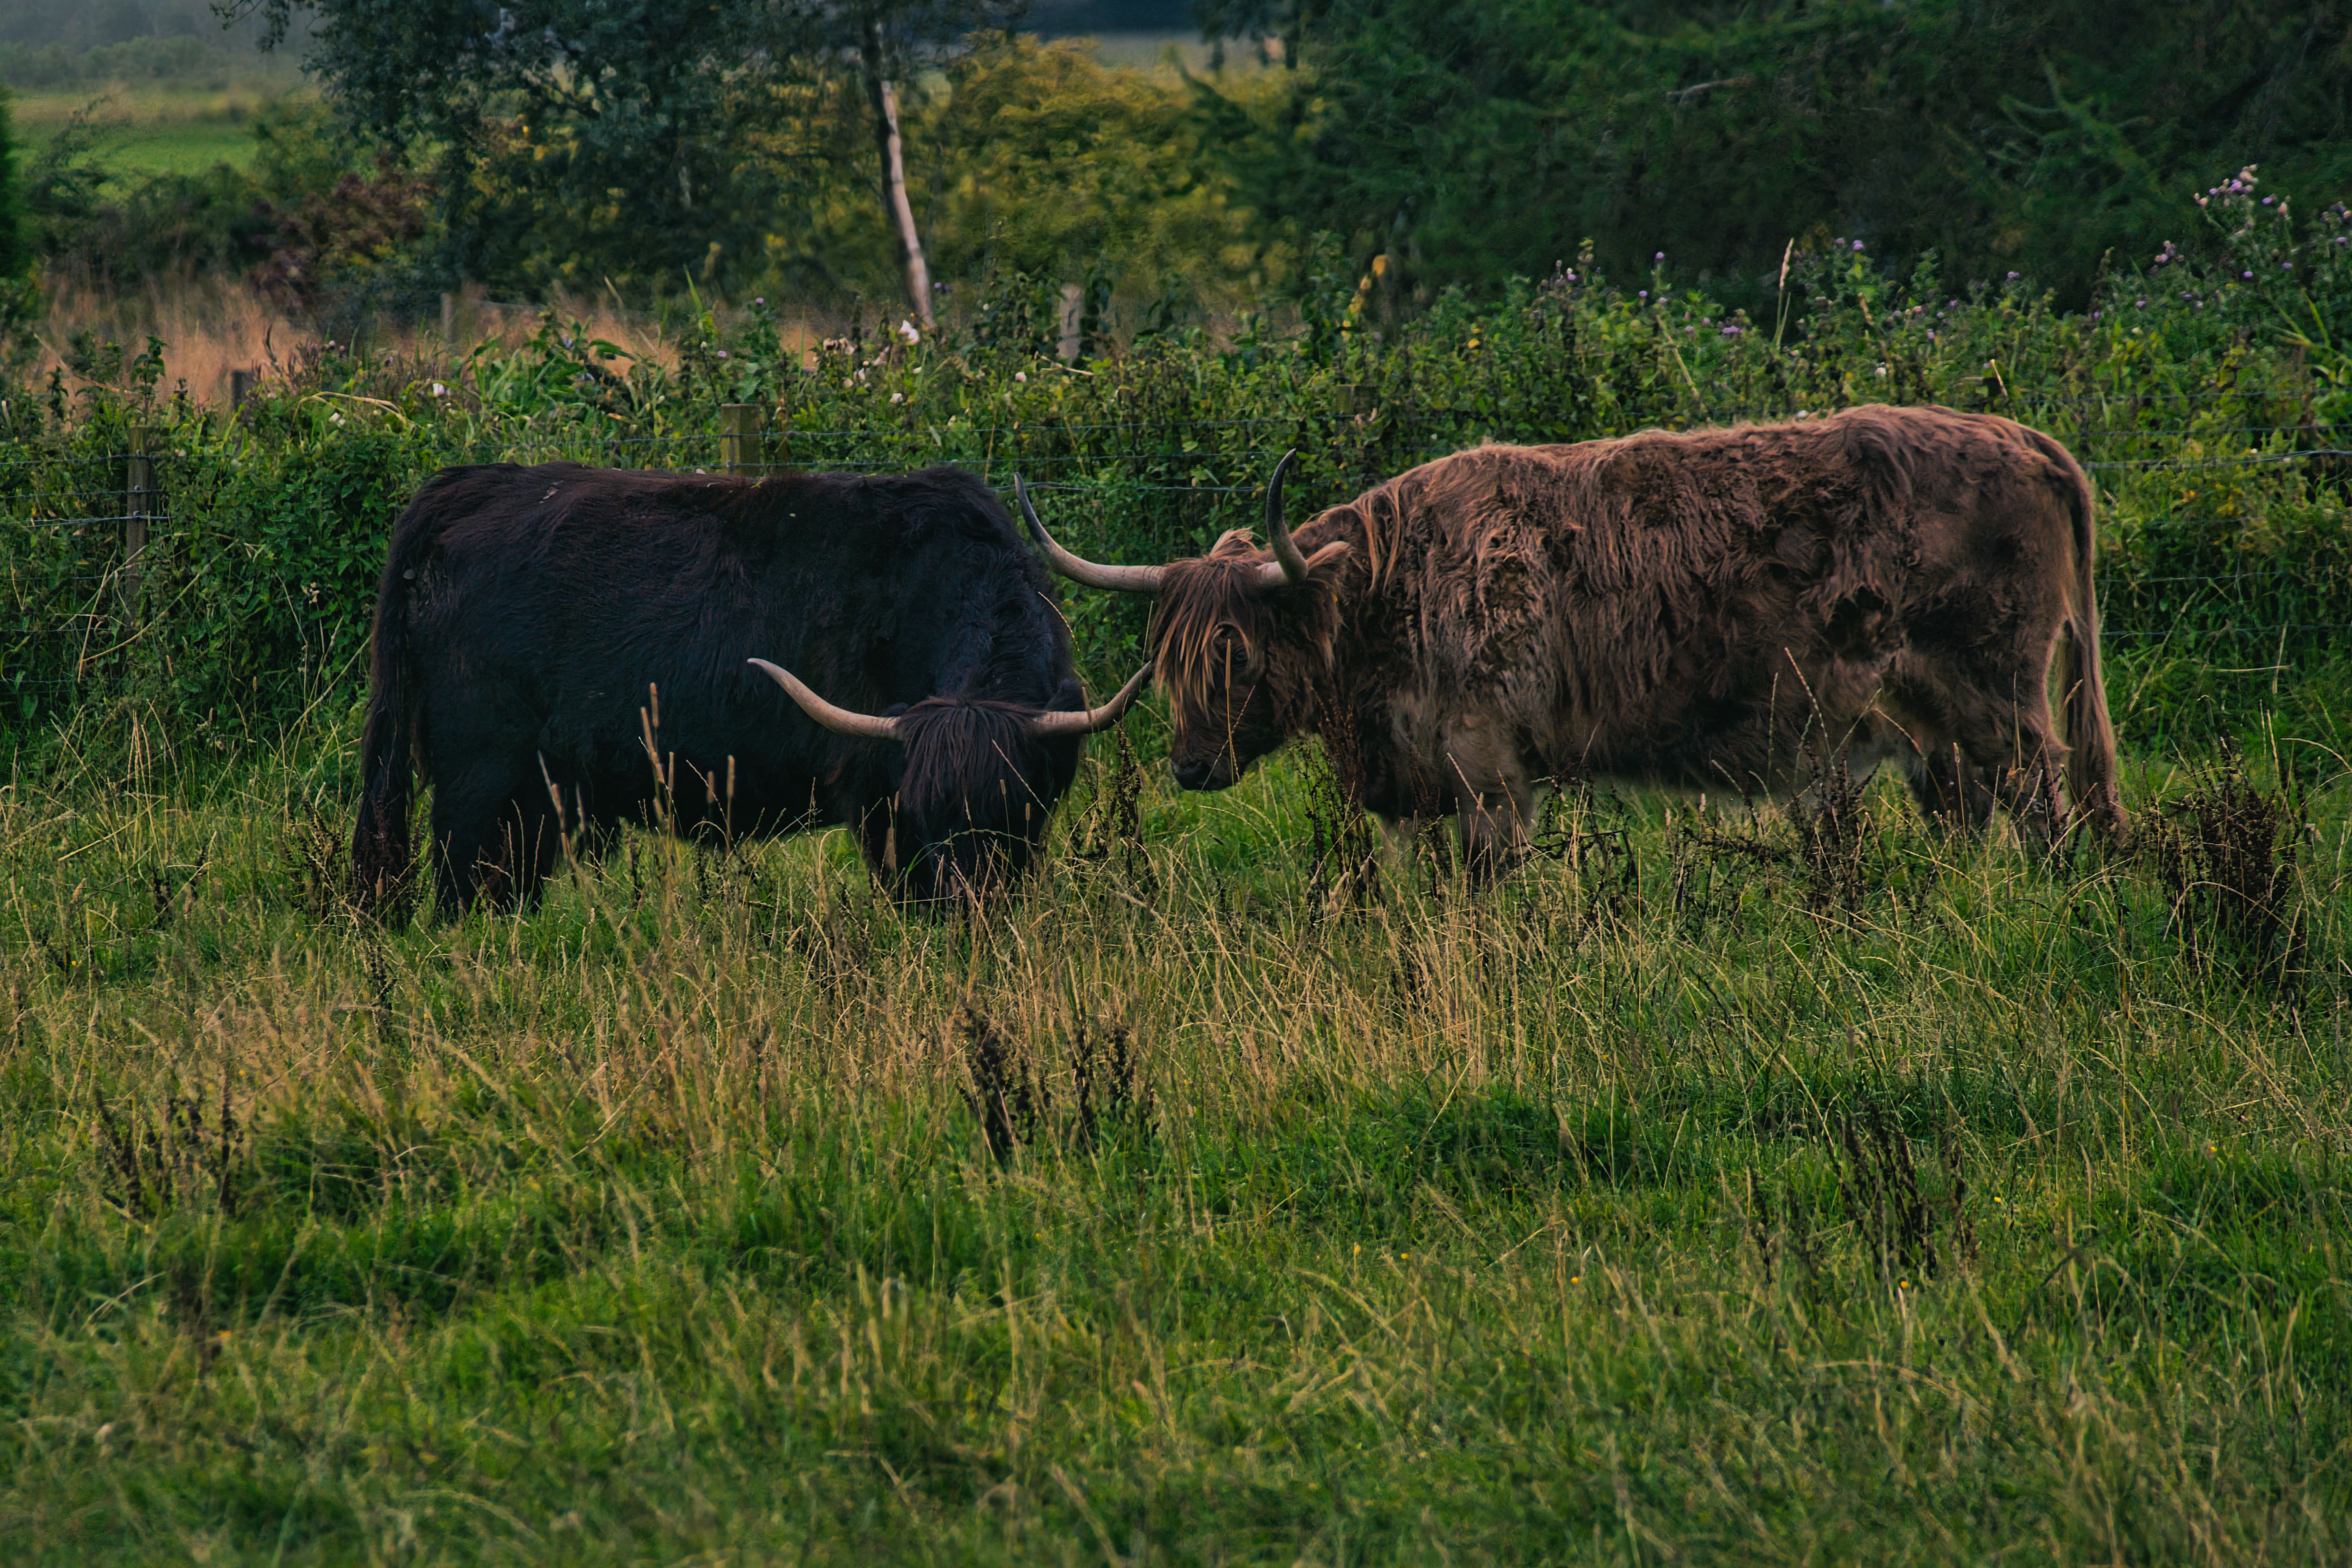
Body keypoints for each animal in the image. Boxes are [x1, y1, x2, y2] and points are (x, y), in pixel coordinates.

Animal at [351, 462, 1148, 916]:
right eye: (927, 815)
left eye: (1013, 809)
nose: (967, 911)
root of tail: (461, 489)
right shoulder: (877, 791)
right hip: (478, 776)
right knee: (461, 885)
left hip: (530, 798)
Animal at [1016, 405, 2123, 879]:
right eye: (1166, 665)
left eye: (1234, 656)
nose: (1189, 766)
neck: (1387, 594)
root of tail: (2025, 439)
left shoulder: (1488, 767)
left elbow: (1484, 882)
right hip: (1927, 708)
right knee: (1968, 802)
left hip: (1996, 688)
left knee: (2038, 792)